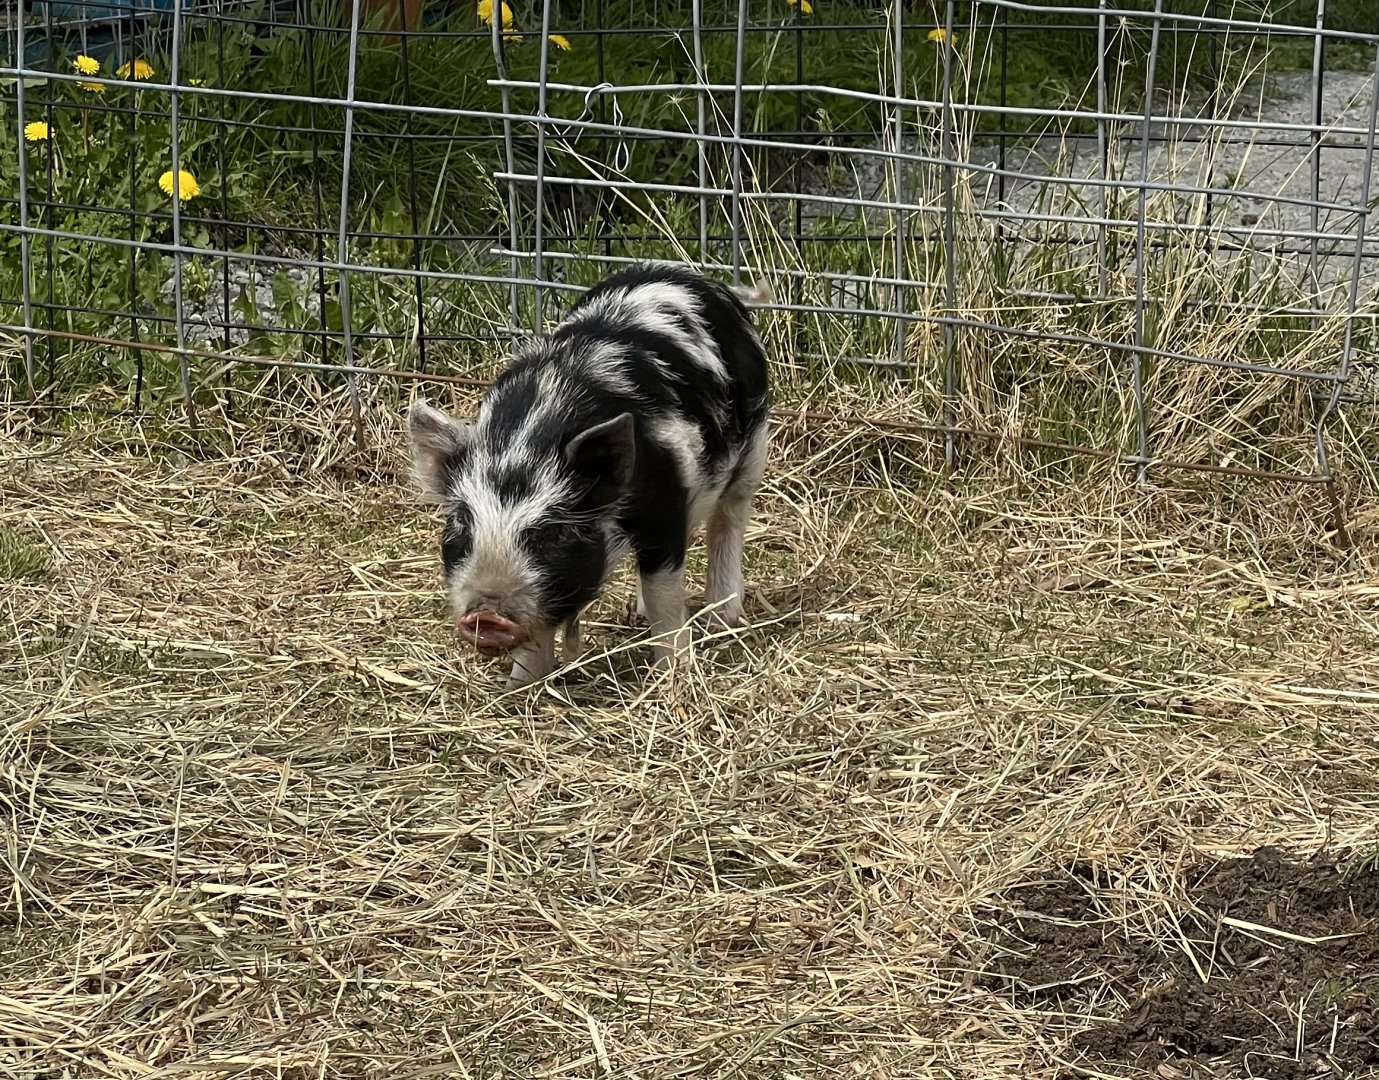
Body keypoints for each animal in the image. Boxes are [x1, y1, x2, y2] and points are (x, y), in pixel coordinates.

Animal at [407, 263, 770, 690]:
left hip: (754, 445)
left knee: (729, 519)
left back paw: (720, 616)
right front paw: (519, 686)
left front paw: (671, 677)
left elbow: (665, 596)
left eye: (553, 534)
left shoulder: (664, 507)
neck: (533, 430)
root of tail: (693, 277)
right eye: (461, 525)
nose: (486, 615)